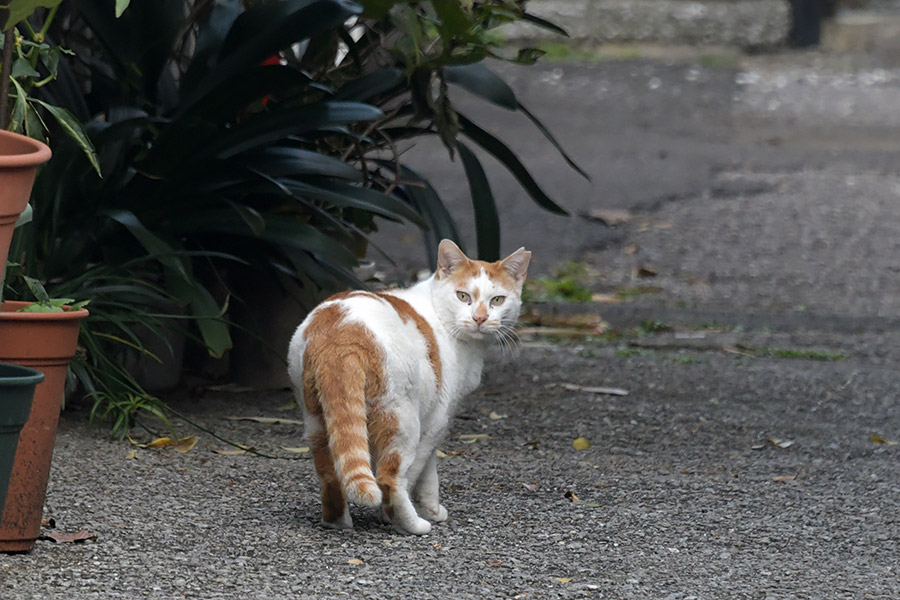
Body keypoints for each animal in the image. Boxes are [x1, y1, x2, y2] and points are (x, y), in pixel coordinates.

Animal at [286, 239, 528, 536]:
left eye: (497, 300)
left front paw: (429, 508)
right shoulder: (437, 420)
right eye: (463, 296)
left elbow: (428, 472)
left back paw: (337, 522)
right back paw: (411, 525)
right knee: (389, 478)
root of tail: (341, 334)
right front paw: (411, 514)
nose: (480, 318)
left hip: (316, 419)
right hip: (402, 419)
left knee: (330, 472)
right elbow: (421, 473)